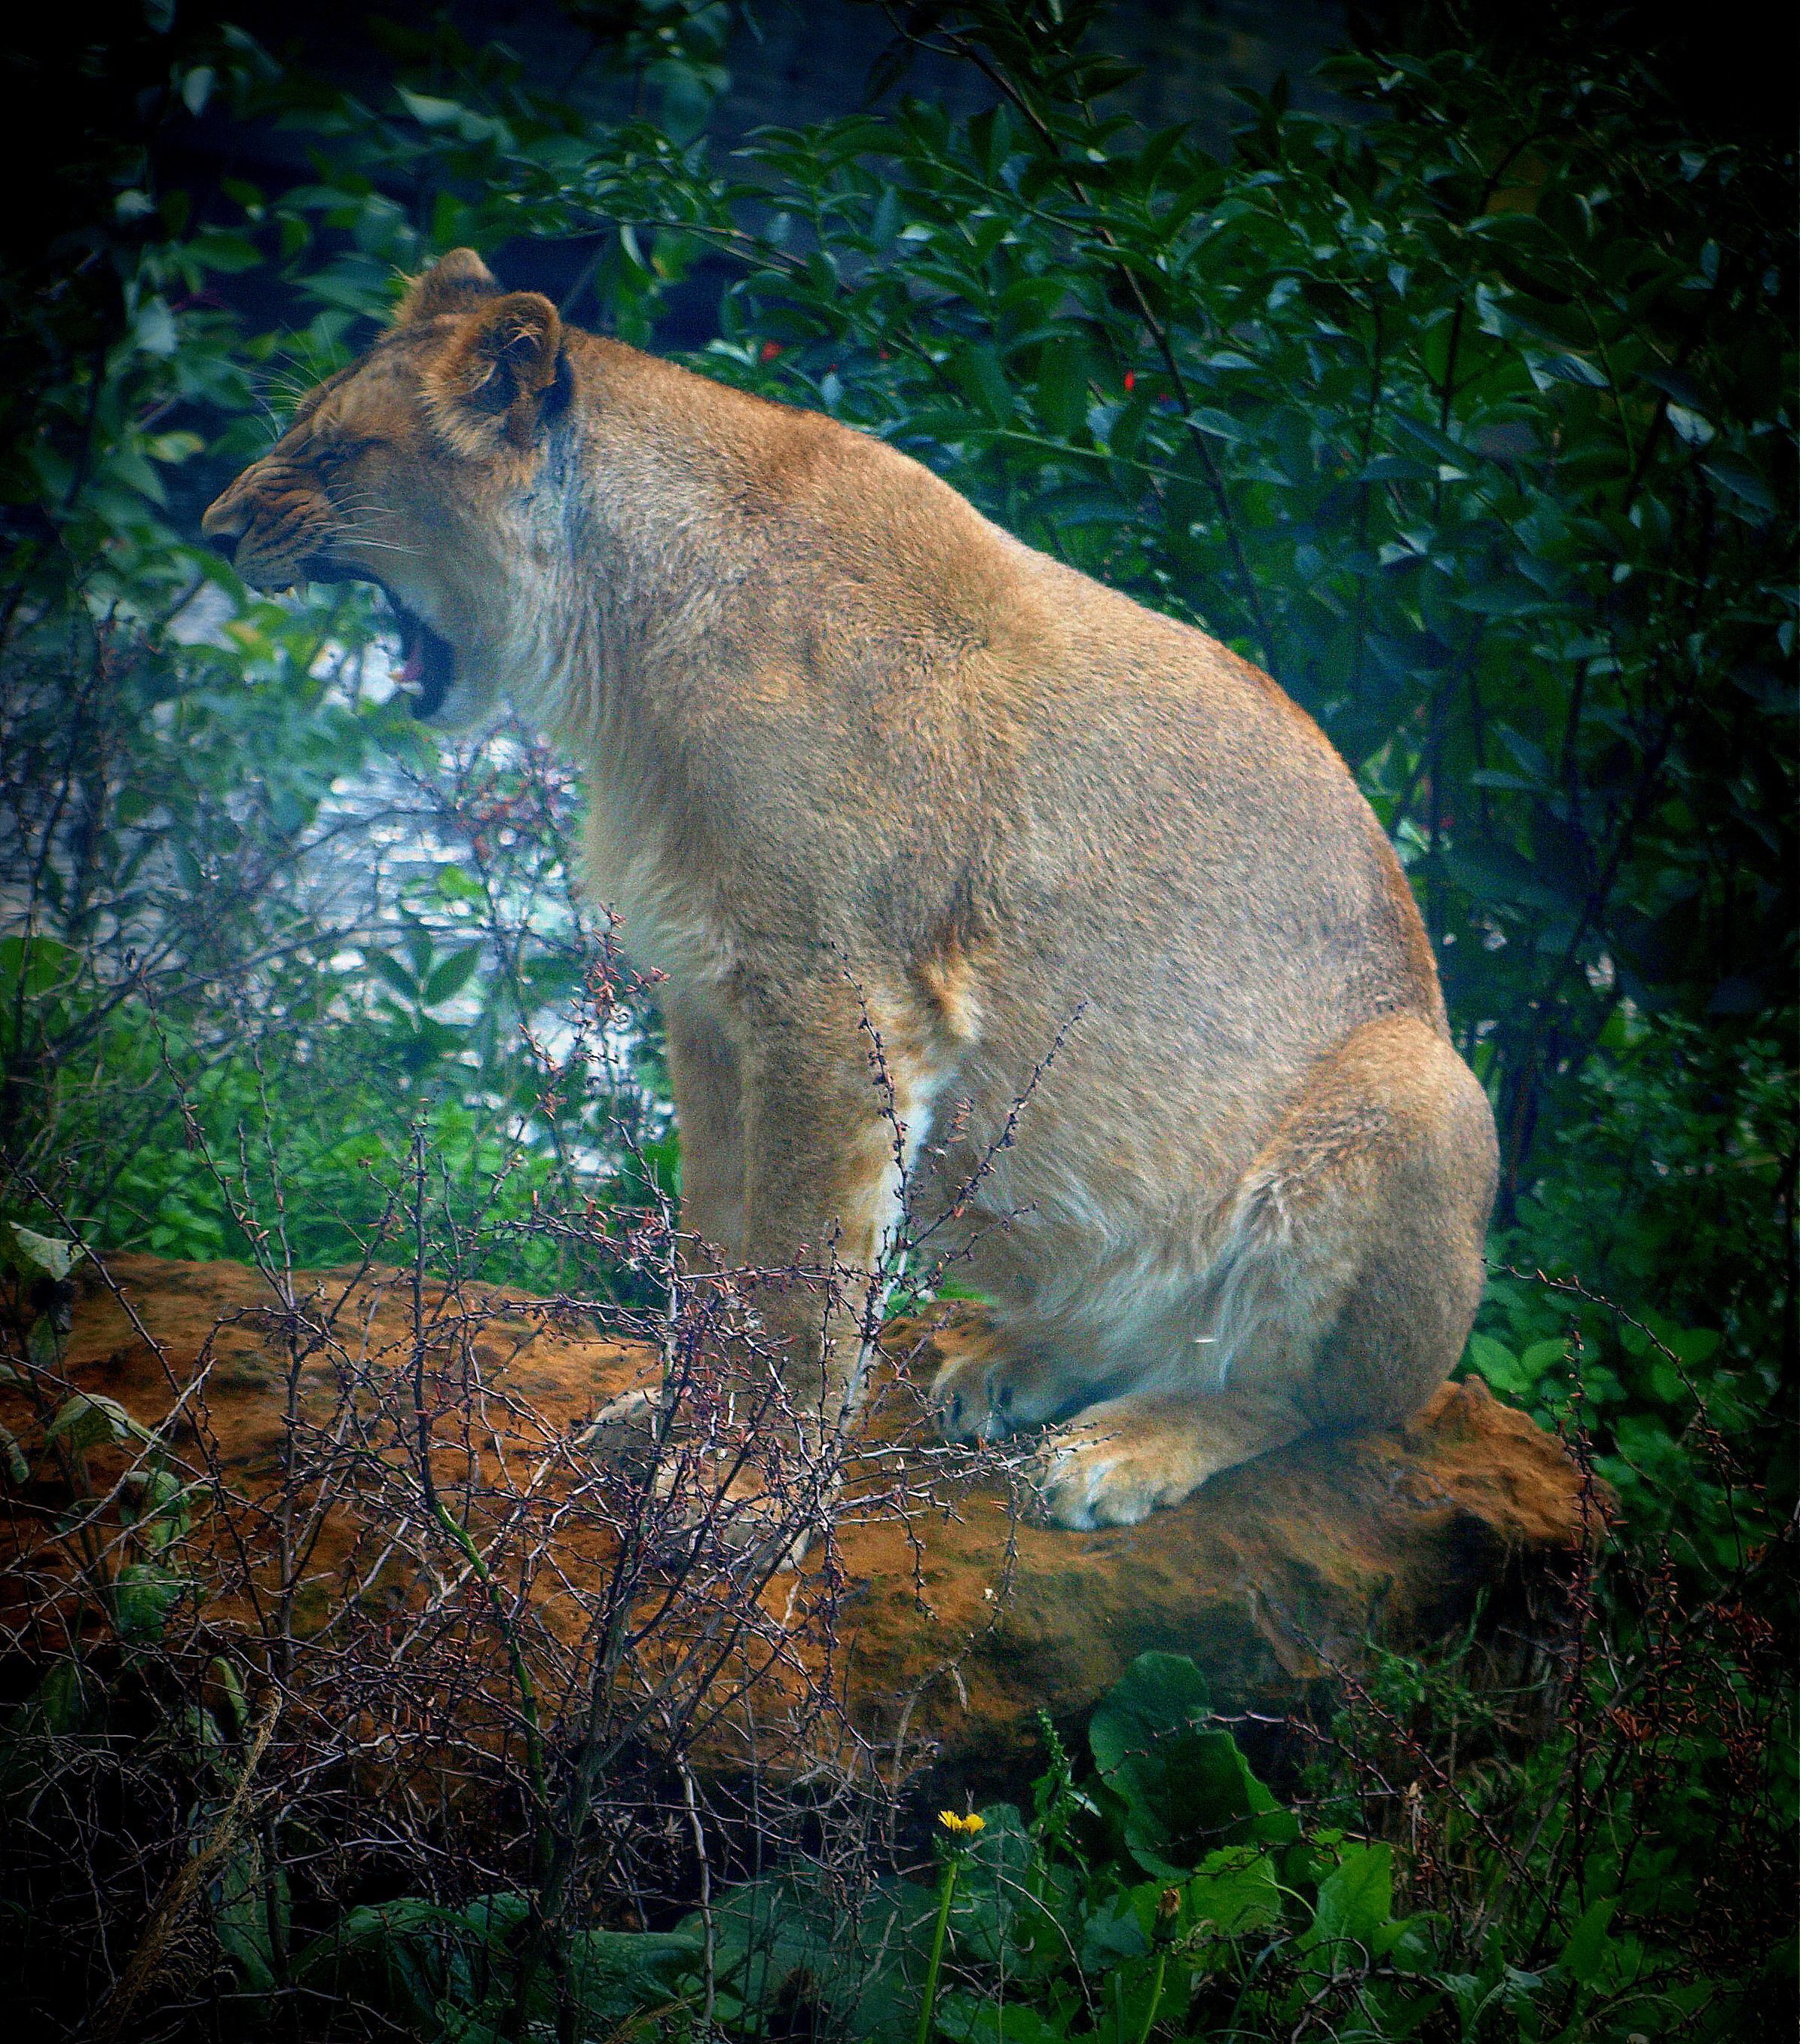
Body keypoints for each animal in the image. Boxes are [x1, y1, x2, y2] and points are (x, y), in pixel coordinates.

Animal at [203, 248, 1499, 1530]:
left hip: (1420, 1092)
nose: (215, 529)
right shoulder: (709, 997)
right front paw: (671, 1430)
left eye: (331, 453)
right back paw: (1010, 1369)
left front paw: (748, 1489)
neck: (619, 654)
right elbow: (716, 1247)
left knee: (1303, 1398)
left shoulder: (840, 999)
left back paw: (1117, 1452)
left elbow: (801, 1277)